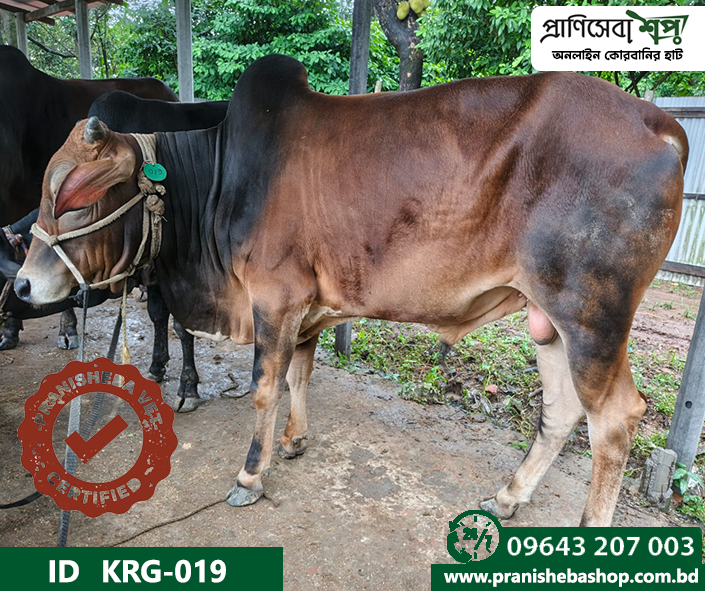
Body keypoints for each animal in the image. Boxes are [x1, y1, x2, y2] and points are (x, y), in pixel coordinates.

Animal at [15, 55, 688, 526]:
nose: (22, 283)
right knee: (563, 410)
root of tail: (659, 122)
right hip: (546, 317)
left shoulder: (275, 297)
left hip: (592, 315)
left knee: (616, 419)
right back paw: (508, 495)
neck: (218, 178)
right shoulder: (307, 307)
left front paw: (250, 475)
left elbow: (265, 387)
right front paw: (294, 441)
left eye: (75, 197)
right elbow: (299, 375)